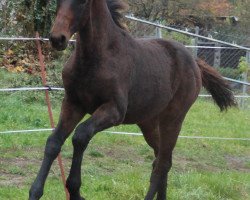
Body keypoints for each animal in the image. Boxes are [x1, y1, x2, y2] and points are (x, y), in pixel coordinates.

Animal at [29, 0, 236, 199]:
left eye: (83, 2)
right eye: (57, 0)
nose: (58, 38)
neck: (97, 57)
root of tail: (194, 62)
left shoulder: (114, 110)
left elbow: (80, 136)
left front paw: (75, 192)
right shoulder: (73, 104)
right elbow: (54, 141)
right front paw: (35, 192)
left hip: (173, 119)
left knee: (163, 163)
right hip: (149, 123)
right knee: (161, 158)